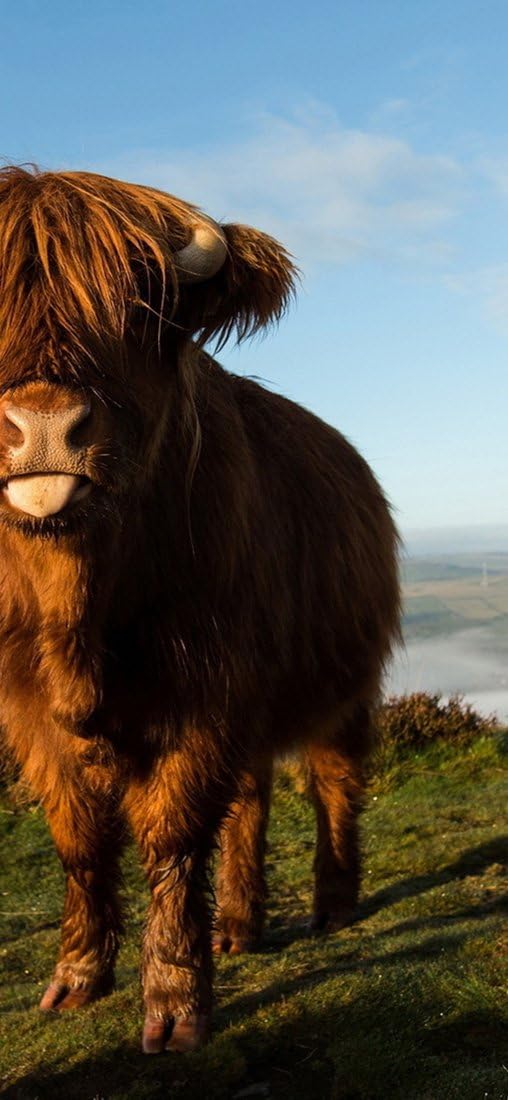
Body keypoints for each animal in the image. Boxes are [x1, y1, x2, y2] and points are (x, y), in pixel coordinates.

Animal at [0, 166, 400, 1054]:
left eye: (134, 316)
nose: (43, 425)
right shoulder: (27, 706)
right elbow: (79, 835)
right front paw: (77, 976)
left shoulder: (206, 688)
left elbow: (174, 832)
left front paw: (176, 1004)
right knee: (250, 796)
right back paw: (240, 924)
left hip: (347, 683)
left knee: (333, 779)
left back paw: (332, 903)